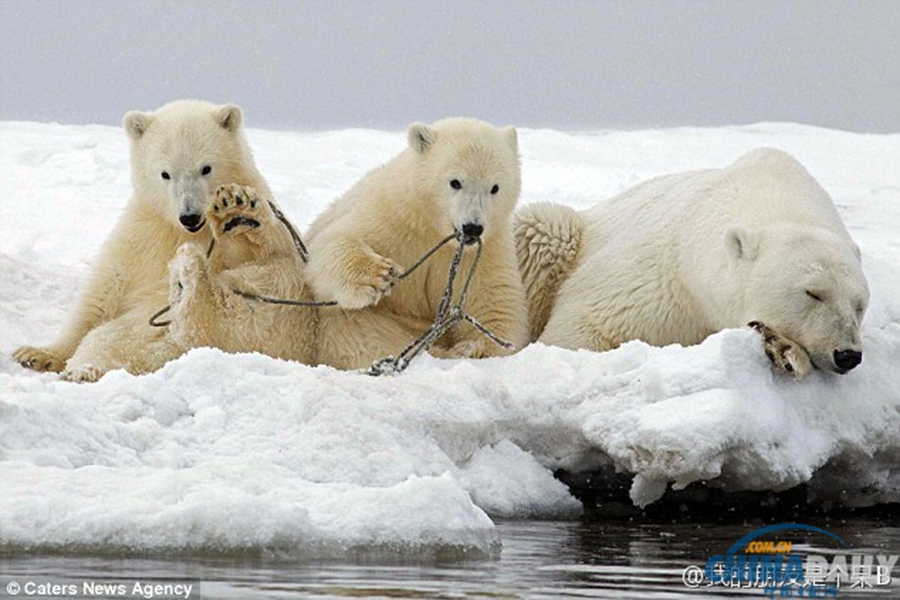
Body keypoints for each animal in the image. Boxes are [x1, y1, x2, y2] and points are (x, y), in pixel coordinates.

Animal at [516, 147, 868, 378]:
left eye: (859, 304)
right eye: (813, 293)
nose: (847, 354)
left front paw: (781, 348)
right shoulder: (660, 278)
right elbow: (580, 327)